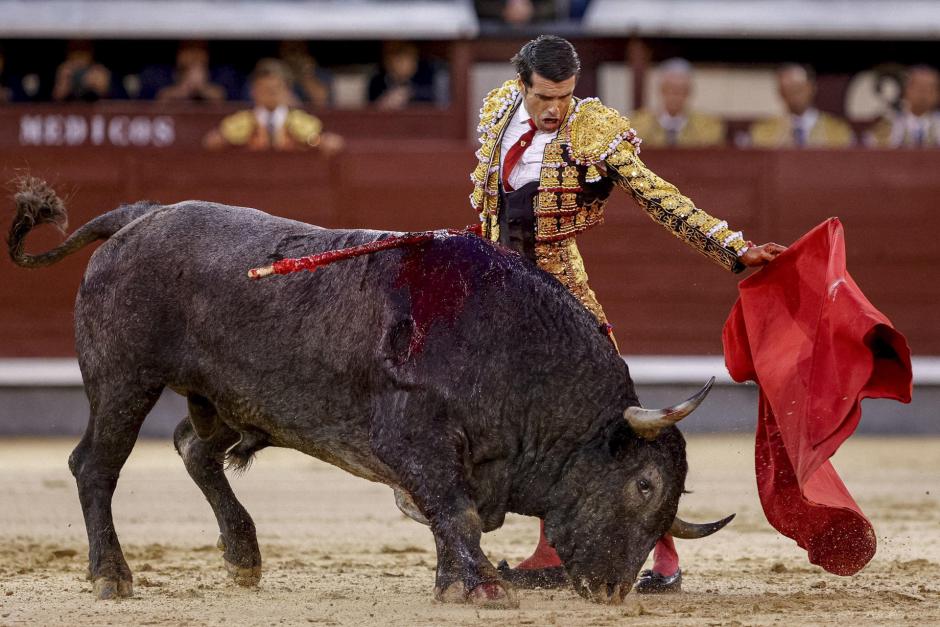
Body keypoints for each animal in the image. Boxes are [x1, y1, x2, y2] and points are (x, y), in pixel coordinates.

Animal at [7, 178, 732, 608]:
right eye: (644, 485)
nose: (613, 590)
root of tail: (141, 216)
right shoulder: (413, 438)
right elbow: (457, 511)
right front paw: (481, 587)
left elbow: (451, 515)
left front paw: (453, 584)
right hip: (124, 380)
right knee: (95, 465)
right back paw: (111, 575)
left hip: (223, 395)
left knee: (193, 448)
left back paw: (243, 557)